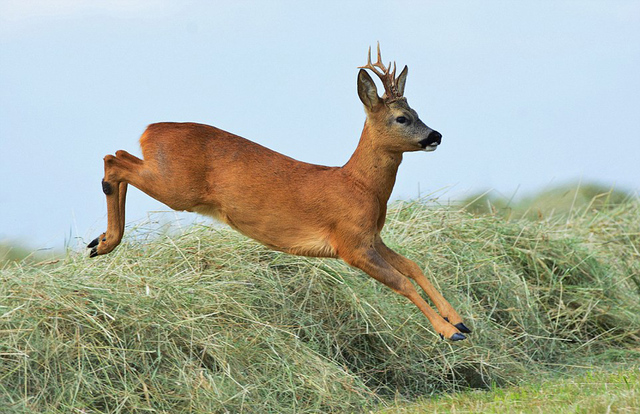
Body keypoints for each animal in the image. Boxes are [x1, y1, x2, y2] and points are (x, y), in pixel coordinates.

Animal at [87, 45, 470, 342]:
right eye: (402, 118)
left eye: (417, 112)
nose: (435, 135)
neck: (360, 185)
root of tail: (149, 130)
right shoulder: (350, 244)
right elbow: (402, 282)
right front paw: (448, 332)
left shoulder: (370, 236)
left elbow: (412, 266)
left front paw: (459, 320)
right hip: (176, 187)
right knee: (114, 160)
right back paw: (105, 242)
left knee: (117, 156)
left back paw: (100, 241)